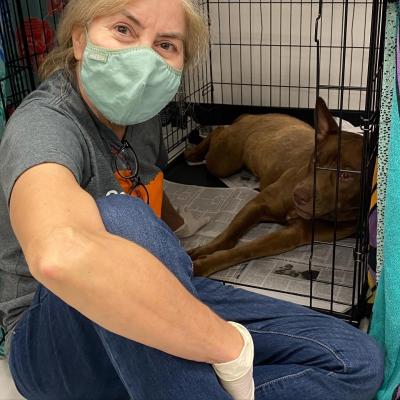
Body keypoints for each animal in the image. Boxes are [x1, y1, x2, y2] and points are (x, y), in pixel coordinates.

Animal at [184, 98, 362, 276]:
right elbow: (227, 236)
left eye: (345, 175)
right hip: (222, 162)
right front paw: (199, 253)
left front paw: (204, 264)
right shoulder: (258, 204)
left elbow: (247, 249)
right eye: (315, 160)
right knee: (218, 130)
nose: (298, 196)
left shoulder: (292, 235)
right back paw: (194, 152)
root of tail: (252, 115)